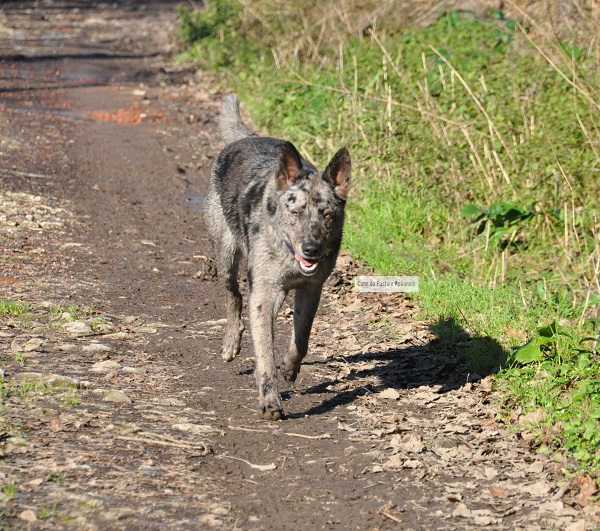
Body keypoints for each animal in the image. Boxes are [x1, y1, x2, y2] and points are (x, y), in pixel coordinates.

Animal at [204, 94, 350, 420]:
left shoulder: (311, 290)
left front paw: (290, 368)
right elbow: (264, 355)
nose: (312, 250)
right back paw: (231, 341)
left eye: (327, 215)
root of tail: (246, 137)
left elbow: (302, 338)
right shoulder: (262, 294)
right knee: (233, 296)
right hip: (227, 257)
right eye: (295, 213)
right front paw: (270, 401)